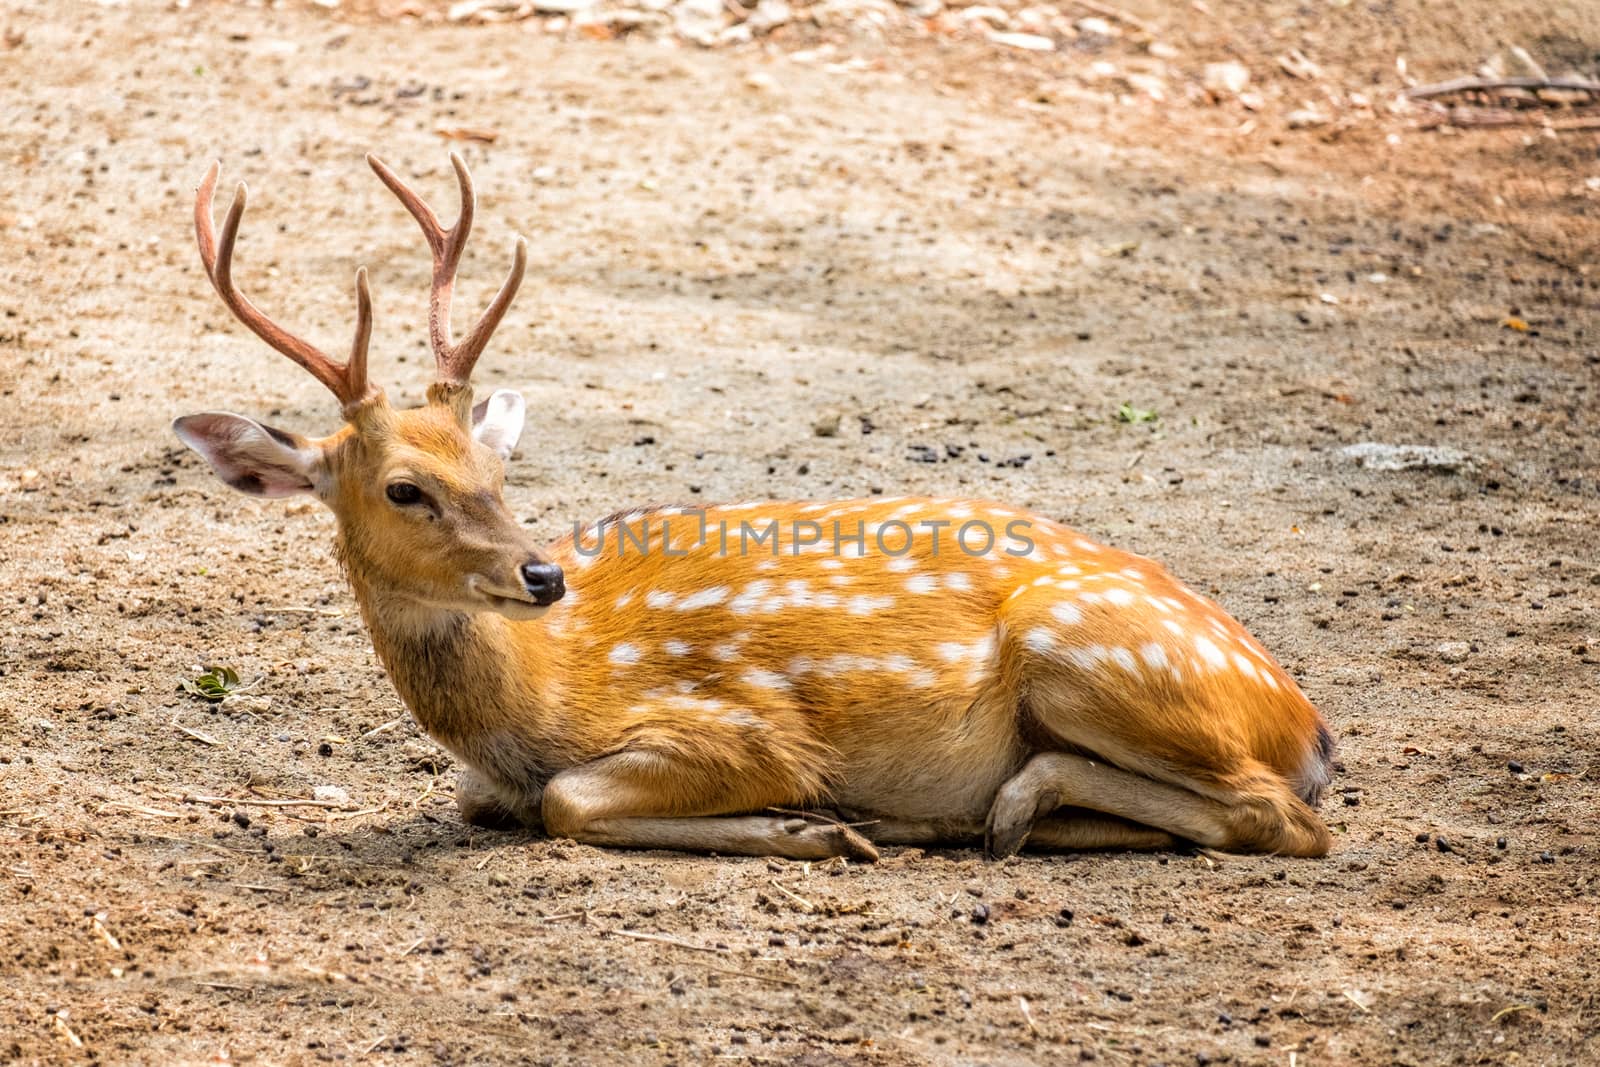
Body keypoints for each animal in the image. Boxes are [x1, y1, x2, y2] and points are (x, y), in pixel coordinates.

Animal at [172, 154, 1337, 863]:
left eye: (496, 473)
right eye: (405, 488)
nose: (542, 574)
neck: (543, 700)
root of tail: (1307, 722)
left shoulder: (742, 723)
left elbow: (569, 801)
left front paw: (807, 824)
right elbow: (497, 799)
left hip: (1087, 651)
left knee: (1277, 814)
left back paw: (990, 804)